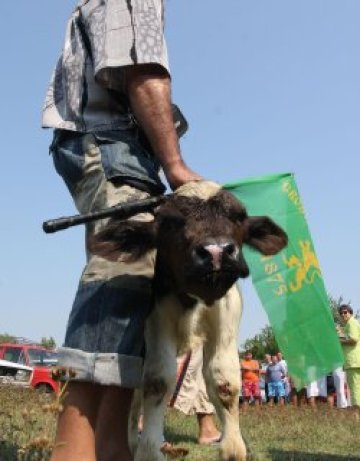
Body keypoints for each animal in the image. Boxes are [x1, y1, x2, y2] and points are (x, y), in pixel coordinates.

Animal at [92, 180, 286, 460]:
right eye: (169, 222)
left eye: (239, 216)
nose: (217, 251)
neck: (193, 300)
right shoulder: (156, 323)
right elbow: (158, 381)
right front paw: (148, 451)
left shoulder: (226, 320)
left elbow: (224, 380)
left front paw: (233, 448)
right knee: (135, 396)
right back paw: (132, 443)